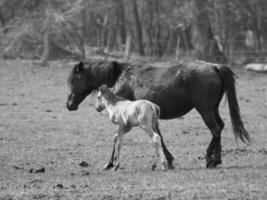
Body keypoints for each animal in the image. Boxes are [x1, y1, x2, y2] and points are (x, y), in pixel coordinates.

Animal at [66, 60, 251, 170]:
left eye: (73, 80)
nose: (69, 105)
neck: (121, 77)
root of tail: (214, 66)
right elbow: (159, 138)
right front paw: (168, 160)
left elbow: (117, 139)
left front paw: (110, 163)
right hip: (212, 109)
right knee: (220, 127)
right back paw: (213, 159)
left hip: (205, 110)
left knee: (215, 130)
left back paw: (212, 160)